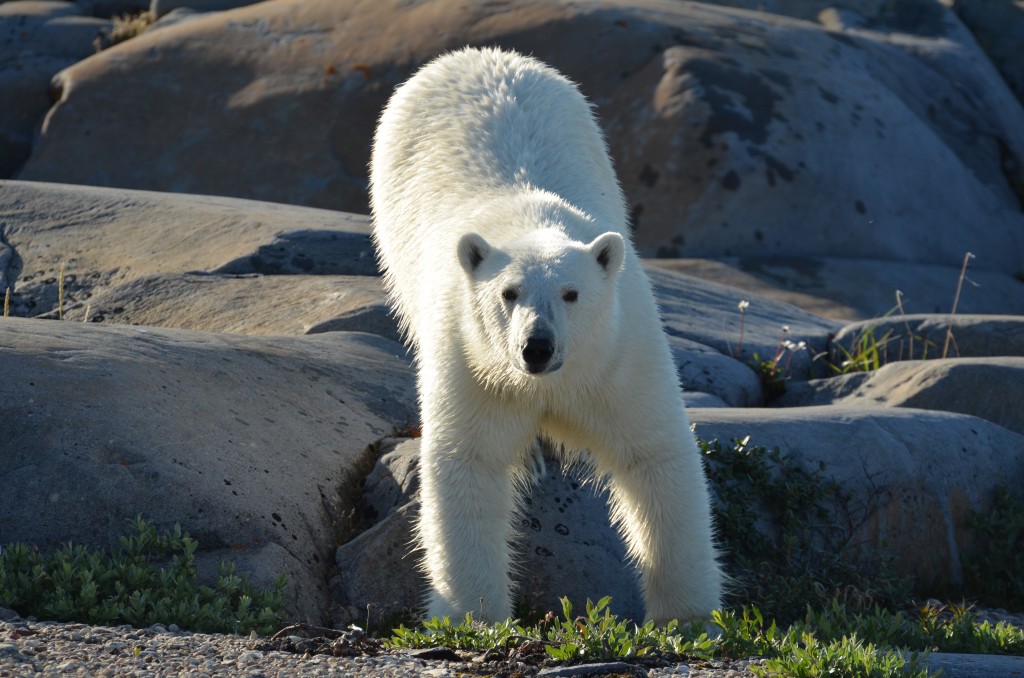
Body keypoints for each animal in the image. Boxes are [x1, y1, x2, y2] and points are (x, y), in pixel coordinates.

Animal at [369, 47, 723, 624]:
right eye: (508, 293)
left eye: (571, 293)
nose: (537, 347)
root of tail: (476, 55)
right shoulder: (475, 362)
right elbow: (469, 462)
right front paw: (474, 615)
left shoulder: (617, 355)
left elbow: (655, 454)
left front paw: (687, 617)